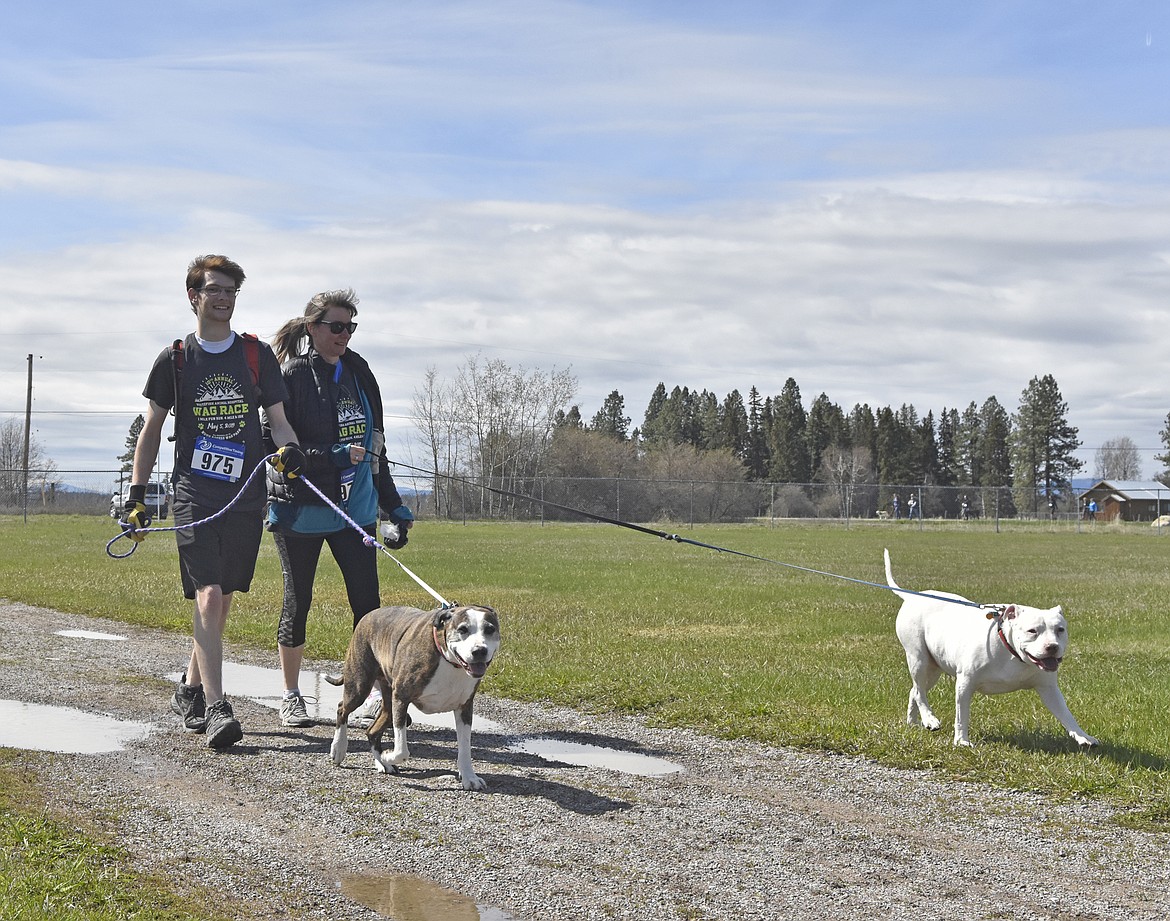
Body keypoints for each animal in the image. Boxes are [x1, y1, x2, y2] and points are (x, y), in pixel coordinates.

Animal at [884, 547, 1095, 748]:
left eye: (1060, 630)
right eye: (1032, 631)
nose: (1052, 647)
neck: (1011, 652)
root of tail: (913, 598)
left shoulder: (1049, 689)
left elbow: (1066, 714)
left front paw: (1083, 737)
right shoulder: (965, 683)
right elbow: (961, 716)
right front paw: (961, 741)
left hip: (934, 667)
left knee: (914, 690)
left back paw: (913, 722)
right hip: (918, 659)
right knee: (920, 691)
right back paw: (929, 718)